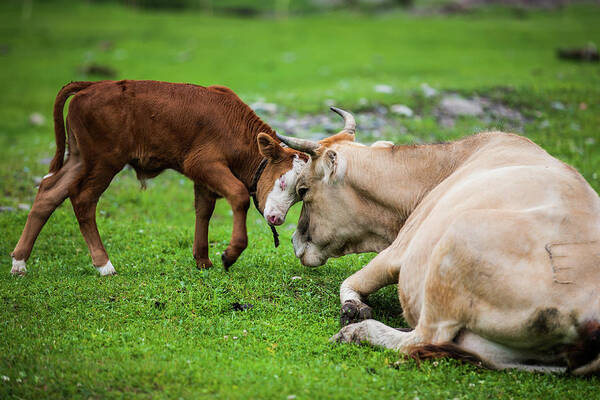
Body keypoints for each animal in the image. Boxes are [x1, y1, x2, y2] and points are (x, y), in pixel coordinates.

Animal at [11, 80, 308, 276]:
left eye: (298, 195)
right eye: (282, 181)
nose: (276, 219)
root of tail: (92, 85)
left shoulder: (201, 174)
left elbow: (204, 210)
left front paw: (202, 260)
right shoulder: (203, 162)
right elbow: (238, 194)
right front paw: (229, 255)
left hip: (79, 157)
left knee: (49, 192)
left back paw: (19, 263)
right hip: (104, 160)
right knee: (83, 200)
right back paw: (104, 265)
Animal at [278, 110, 600, 376]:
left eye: (303, 189)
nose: (294, 242)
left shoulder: (398, 252)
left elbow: (349, 283)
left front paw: (353, 309)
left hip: (455, 246)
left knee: (419, 340)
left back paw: (355, 332)